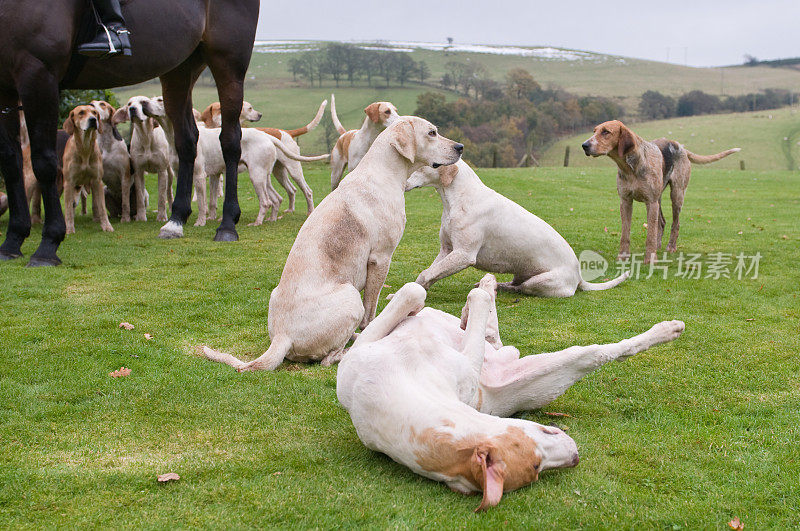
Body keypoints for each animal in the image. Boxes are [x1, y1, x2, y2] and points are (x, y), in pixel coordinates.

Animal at [0, 0, 258, 266]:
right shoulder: (5, 86)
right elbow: (10, 162)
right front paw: (12, 241)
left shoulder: (38, 73)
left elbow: (43, 163)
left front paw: (47, 246)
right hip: (180, 69)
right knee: (187, 141)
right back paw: (175, 221)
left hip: (228, 63)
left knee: (229, 140)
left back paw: (227, 225)